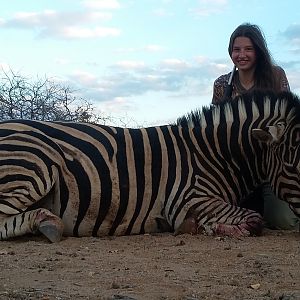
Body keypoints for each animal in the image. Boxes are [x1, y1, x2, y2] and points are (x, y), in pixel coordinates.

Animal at [0, 90, 300, 243]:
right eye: (291, 164)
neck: (211, 153)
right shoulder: (189, 199)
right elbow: (255, 220)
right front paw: (201, 228)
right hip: (35, 166)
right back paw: (48, 223)